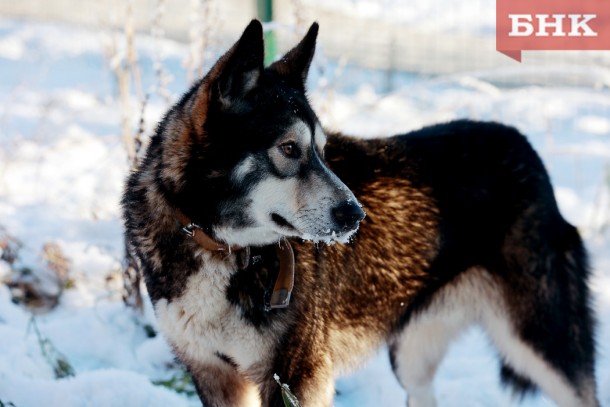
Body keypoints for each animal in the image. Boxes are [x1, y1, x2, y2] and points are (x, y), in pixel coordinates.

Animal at [121, 19, 596, 407]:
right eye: (289, 149)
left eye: (323, 150)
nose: (355, 215)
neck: (224, 248)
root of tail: (523, 145)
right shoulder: (213, 373)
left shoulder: (296, 376)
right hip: (413, 357)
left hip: (542, 344)